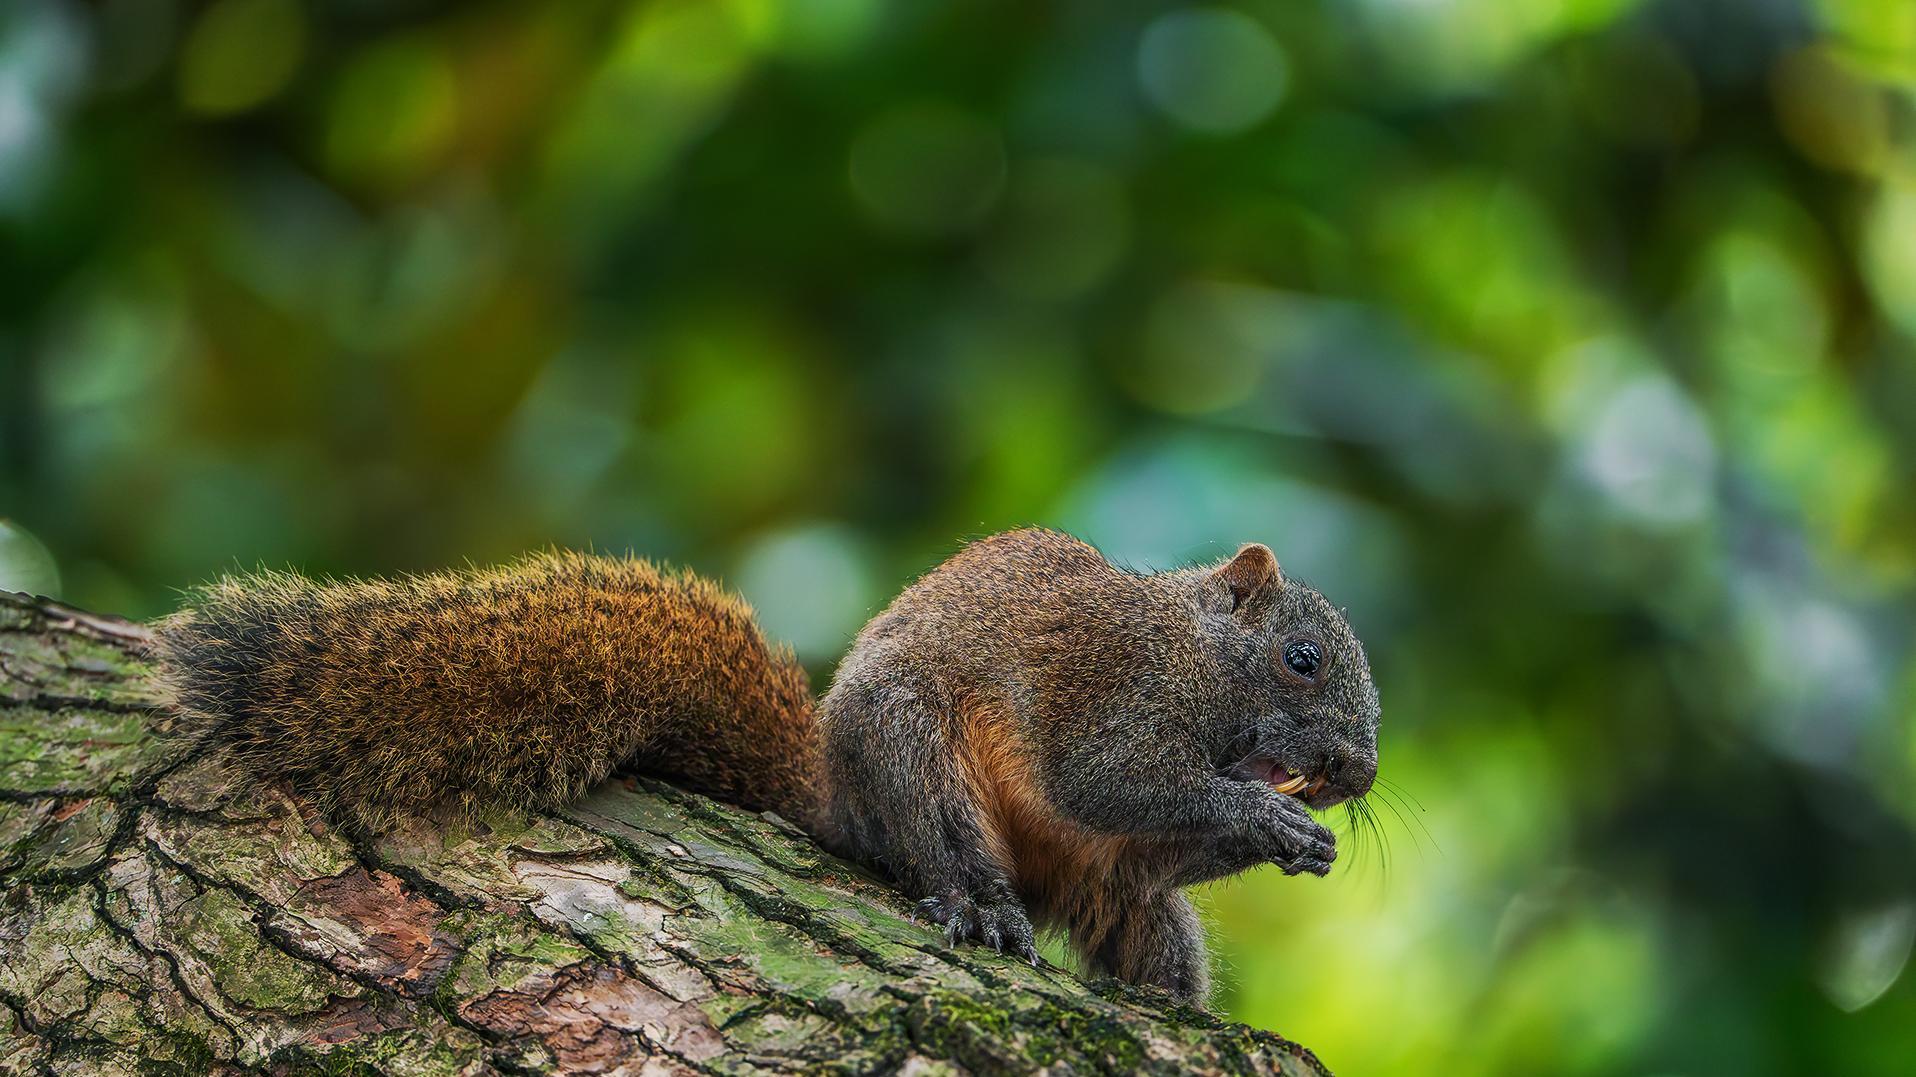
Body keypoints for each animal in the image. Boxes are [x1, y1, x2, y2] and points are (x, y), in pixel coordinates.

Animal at [153, 528, 1379, 996]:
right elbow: (1108, 780)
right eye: (1302, 658)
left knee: (1150, 931)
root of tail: (831, 789)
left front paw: (1304, 844)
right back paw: (978, 904)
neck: (1194, 652)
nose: (1357, 777)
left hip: (1113, 900)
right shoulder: (1114, 689)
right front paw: (1272, 821)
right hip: (911, 753)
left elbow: (1161, 842)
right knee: (941, 848)